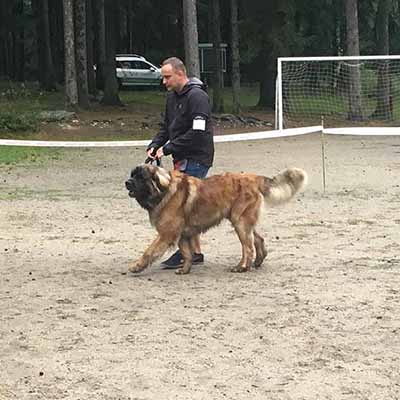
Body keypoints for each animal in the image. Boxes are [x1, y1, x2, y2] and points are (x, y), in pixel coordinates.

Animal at [125, 164, 306, 274]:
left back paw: (242, 267)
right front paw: (185, 269)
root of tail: (254, 178)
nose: (127, 182)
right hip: (244, 221)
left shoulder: (167, 233)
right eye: (132, 175)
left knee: (247, 248)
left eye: (141, 177)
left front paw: (136, 266)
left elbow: (149, 251)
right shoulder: (183, 234)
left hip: (239, 222)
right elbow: (187, 253)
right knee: (258, 239)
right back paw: (257, 262)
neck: (164, 191)